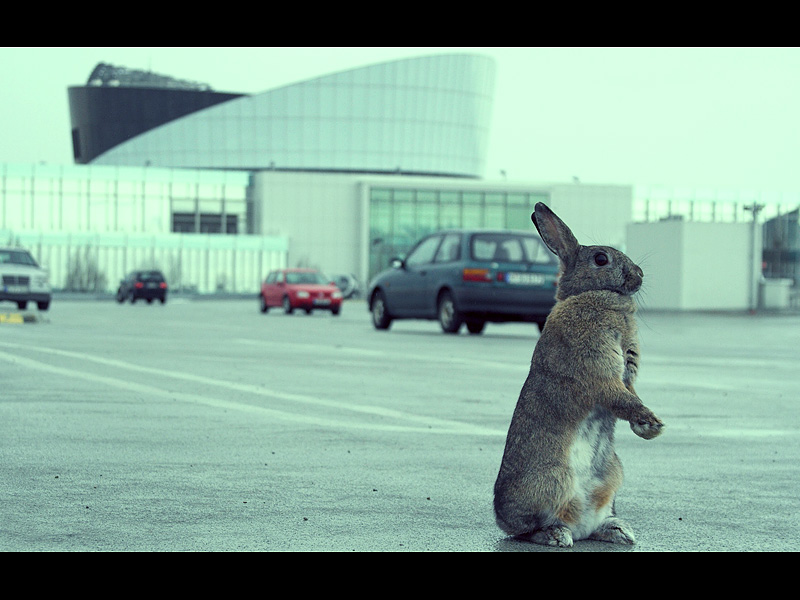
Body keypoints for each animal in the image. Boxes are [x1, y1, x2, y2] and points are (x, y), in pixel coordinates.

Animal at [494, 203, 664, 548]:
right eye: (601, 259)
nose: (639, 274)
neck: (593, 294)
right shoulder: (599, 370)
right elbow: (621, 398)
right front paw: (651, 423)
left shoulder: (626, 373)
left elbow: (630, 394)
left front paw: (645, 429)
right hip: (549, 481)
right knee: (526, 529)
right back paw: (556, 535)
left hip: (612, 475)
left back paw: (619, 531)